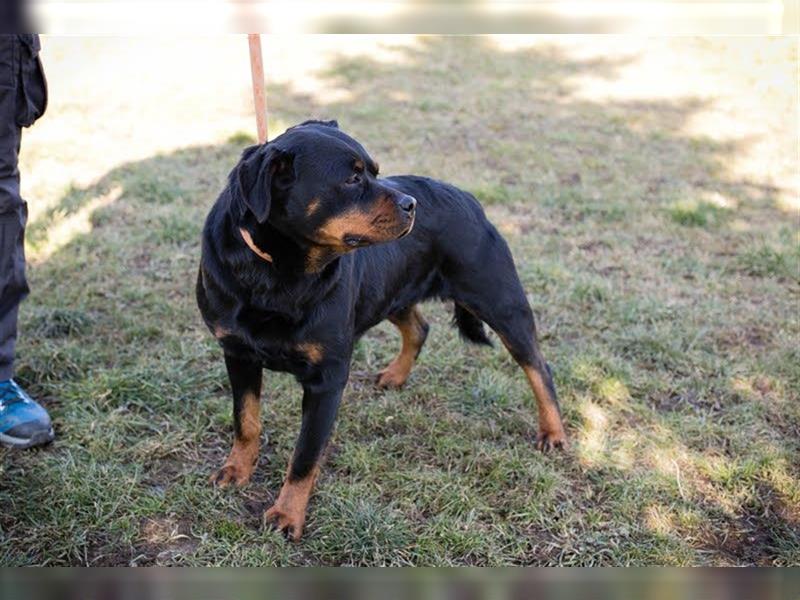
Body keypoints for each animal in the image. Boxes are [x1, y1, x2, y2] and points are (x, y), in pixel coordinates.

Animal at [197, 119, 564, 540]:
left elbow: (305, 455)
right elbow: (245, 421)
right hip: (392, 292)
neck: (278, 271)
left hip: (499, 301)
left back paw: (553, 433)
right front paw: (237, 470)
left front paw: (287, 515)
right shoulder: (237, 353)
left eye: (374, 171)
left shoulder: (327, 378)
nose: (411, 204)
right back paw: (395, 375)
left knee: (537, 365)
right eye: (353, 178)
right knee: (419, 327)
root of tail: (470, 198)